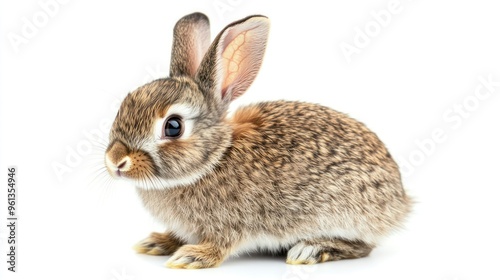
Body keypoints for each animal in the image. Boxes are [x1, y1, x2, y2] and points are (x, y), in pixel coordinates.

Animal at [104, 12, 410, 268]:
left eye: (173, 126)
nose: (115, 161)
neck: (213, 160)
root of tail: (400, 200)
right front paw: (158, 242)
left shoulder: (232, 223)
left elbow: (222, 244)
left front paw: (192, 256)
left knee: (362, 246)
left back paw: (310, 249)